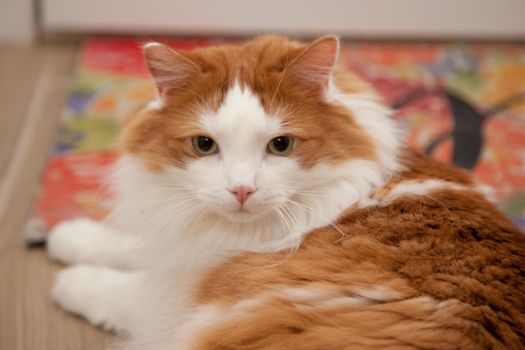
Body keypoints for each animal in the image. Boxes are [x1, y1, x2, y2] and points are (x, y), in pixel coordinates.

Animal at [47, 36, 520, 350]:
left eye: (280, 145)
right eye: (204, 145)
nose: (241, 189)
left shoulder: (182, 296)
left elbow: (125, 290)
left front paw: (71, 280)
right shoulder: (182, 245)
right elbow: (128, 244)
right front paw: (69, 235)